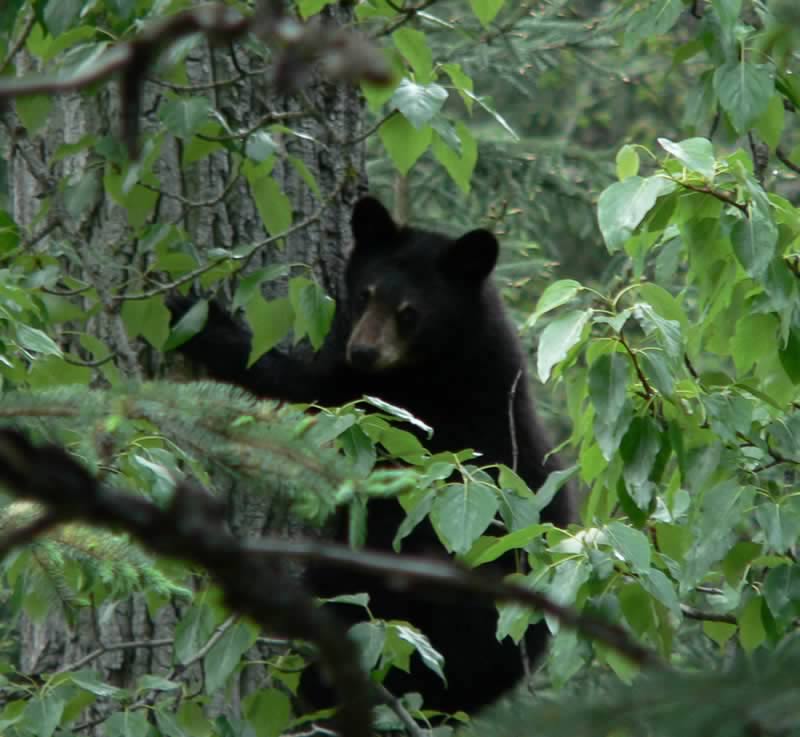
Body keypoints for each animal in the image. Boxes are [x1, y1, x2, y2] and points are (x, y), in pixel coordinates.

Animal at [169, 196, 572, 712]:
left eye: (409, 312)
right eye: (365, 294)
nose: (362, 350)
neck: (445, 357)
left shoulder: (410, 409)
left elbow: (307, 391)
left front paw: (203, 323)